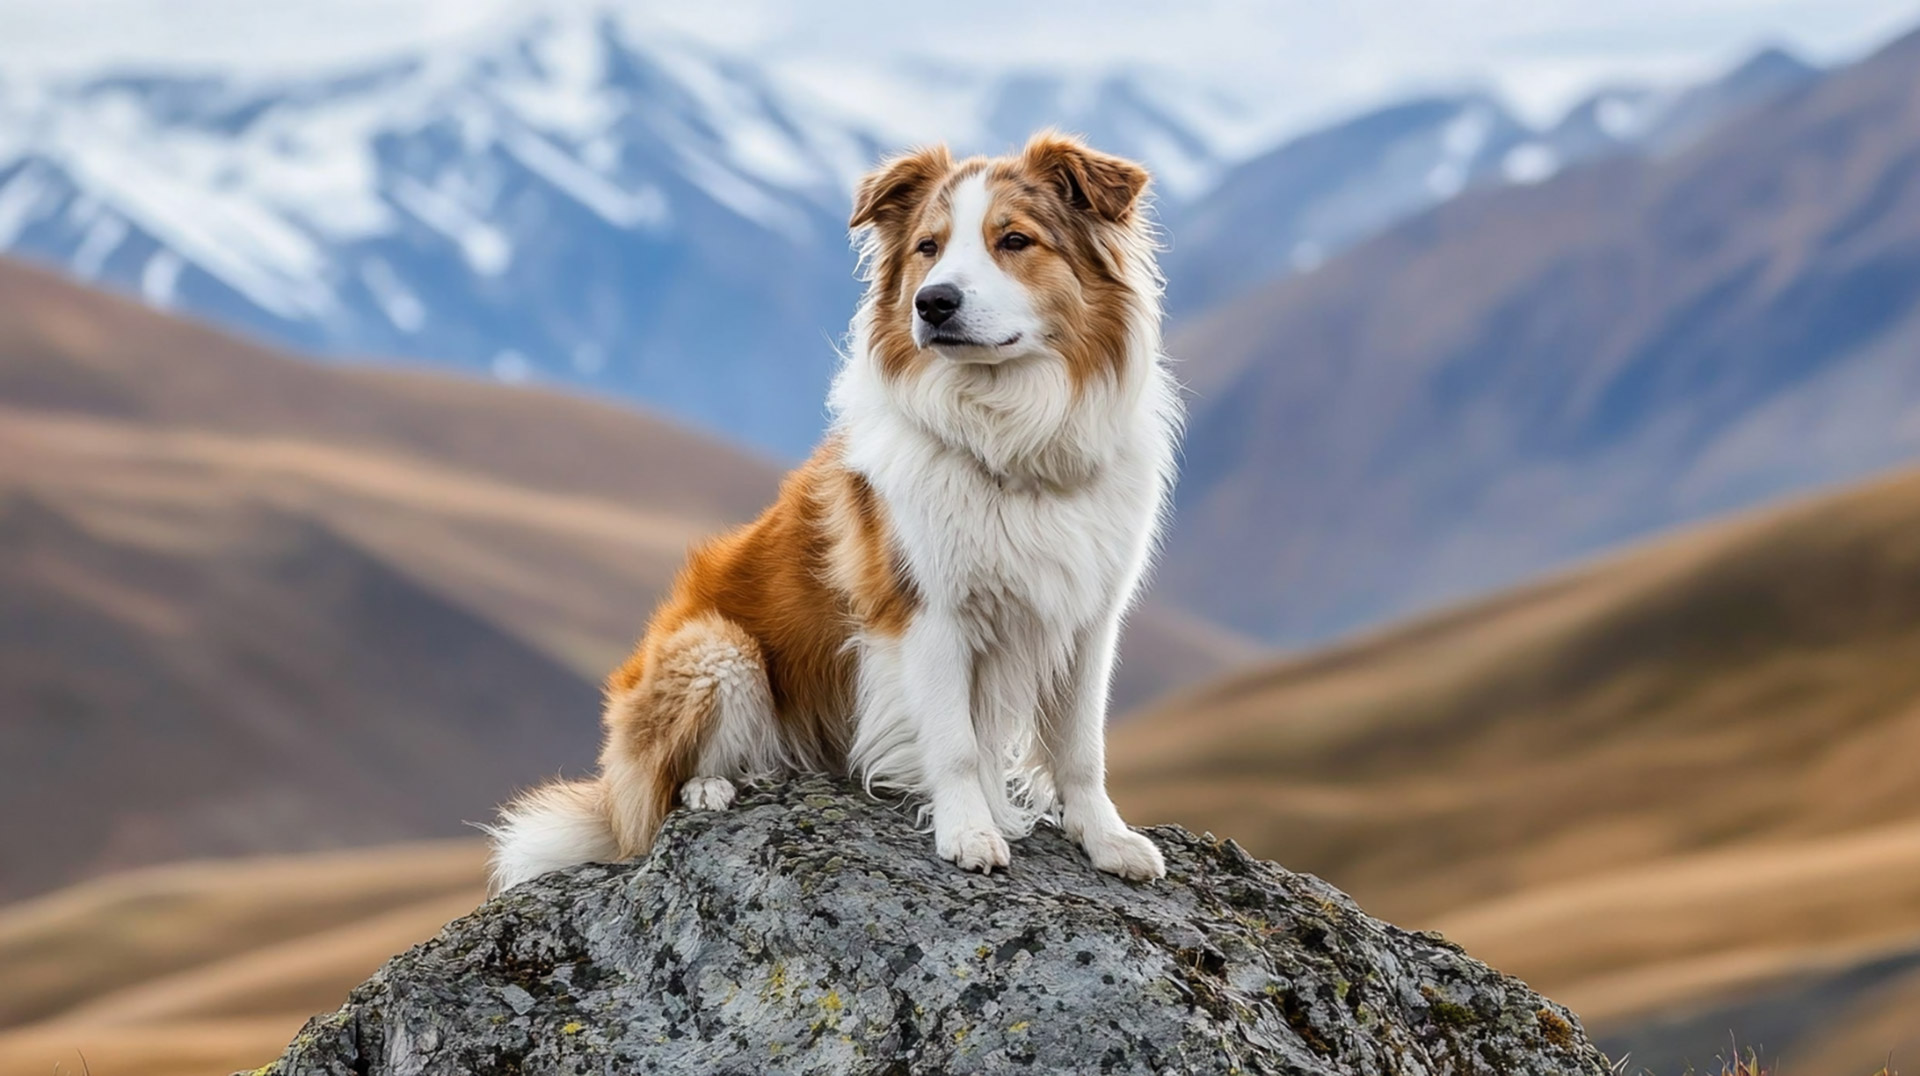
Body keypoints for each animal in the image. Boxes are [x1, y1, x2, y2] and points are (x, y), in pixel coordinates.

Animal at [487, 130, 1175, 891]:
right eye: (928, 246)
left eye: (1015, 240)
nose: (933, 303)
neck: (1009, 436)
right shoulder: (923, 610)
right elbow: (957, 745)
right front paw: (970, 831)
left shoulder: (1088, 614)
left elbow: (1081, 749)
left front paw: (1107, 839)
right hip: (716, 648)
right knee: (651, 803)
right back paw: (709, 789)